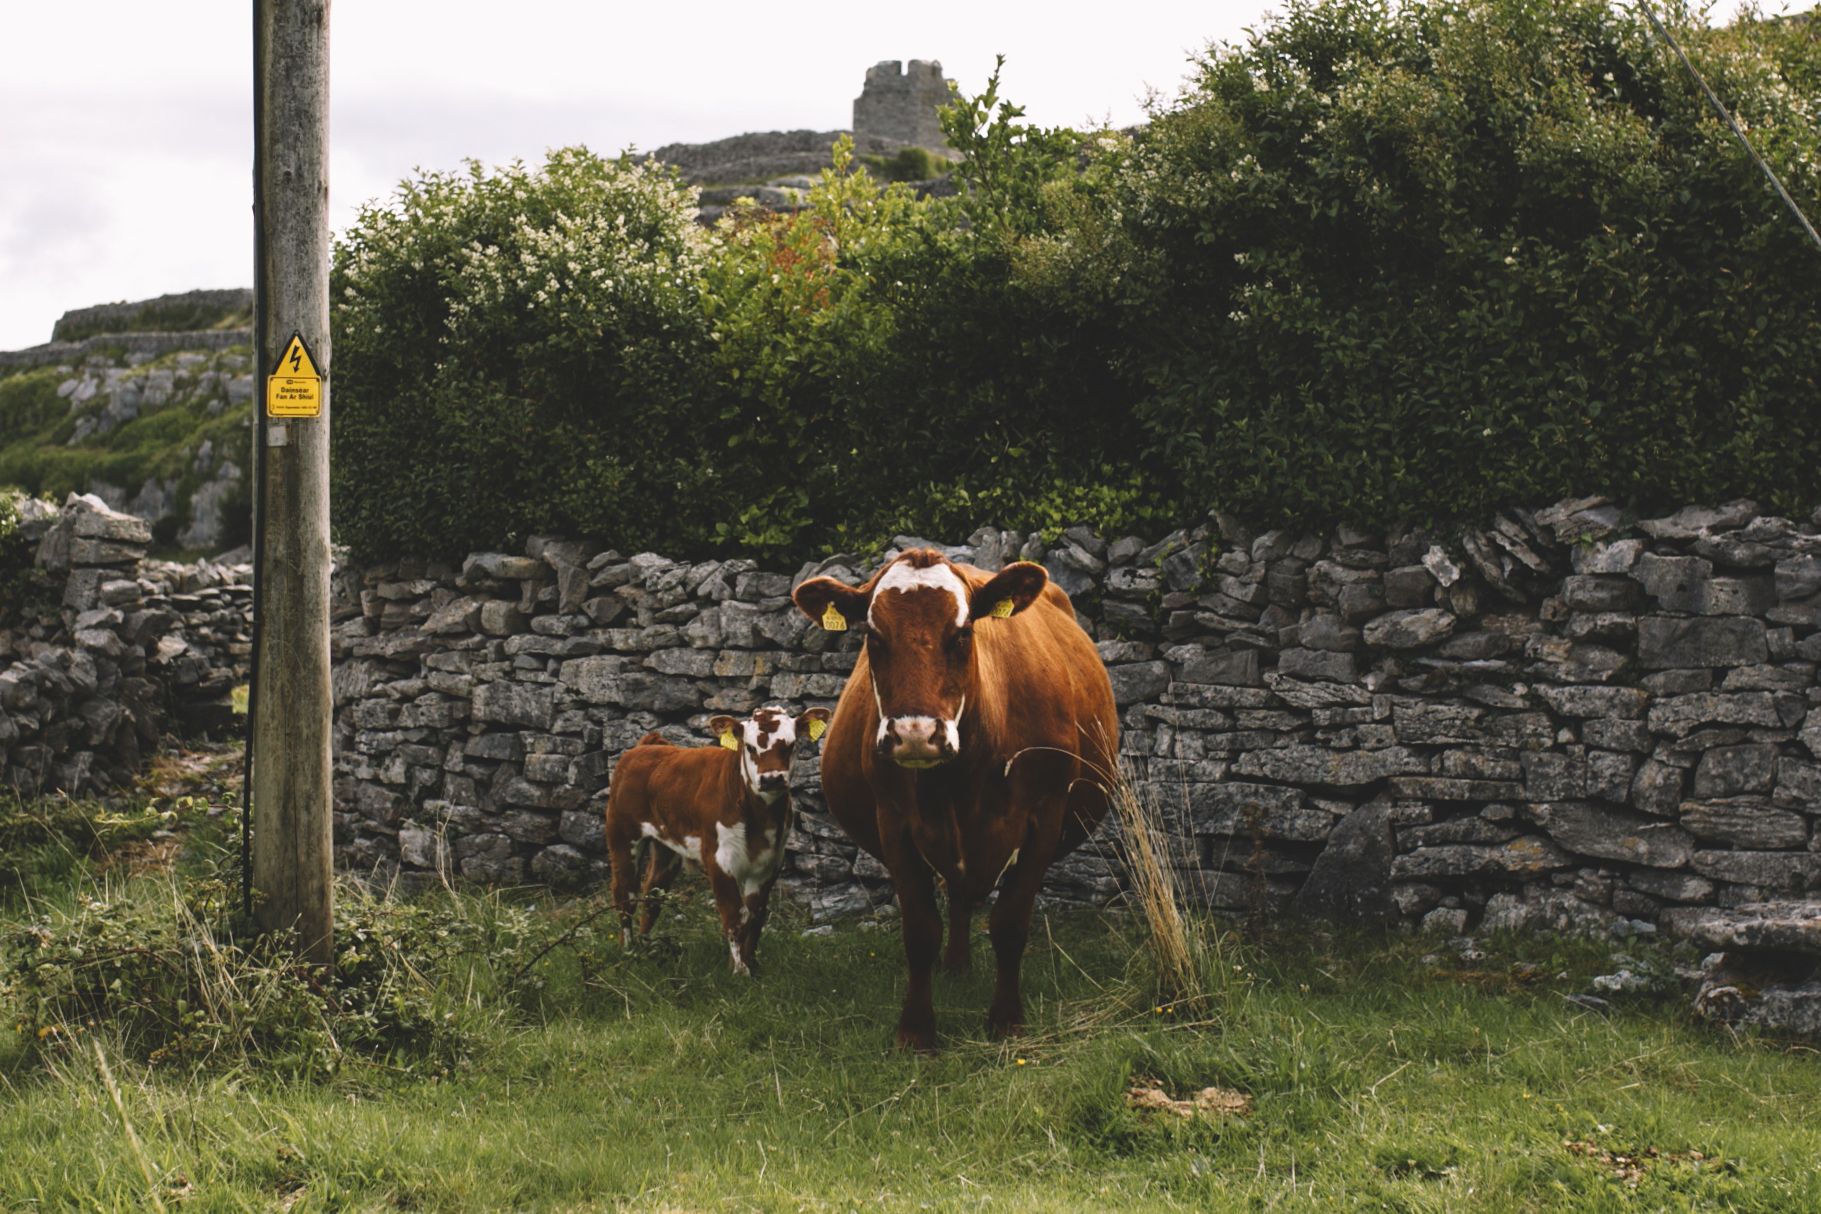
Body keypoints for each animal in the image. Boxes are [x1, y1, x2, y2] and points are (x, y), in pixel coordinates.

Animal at [604, 702, 834, 975]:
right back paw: (627, 951)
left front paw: (748, 963)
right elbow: (736, 915)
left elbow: (755, 914)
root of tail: (649, 745)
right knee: (625, 893)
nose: (771, 779)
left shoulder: (771, 861)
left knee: (653, 895)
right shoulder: (719, 858)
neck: (761, 818)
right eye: (749, 746)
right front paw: (739, 972)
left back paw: (646, 948)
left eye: (791, 744)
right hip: (621, 832)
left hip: (666, 846)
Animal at [790, 549, 1114, 1048]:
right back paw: (955, 966)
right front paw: (916, 1031)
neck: (962, 781)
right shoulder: (894, 822)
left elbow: (1009, 925)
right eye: (873, 636)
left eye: (962, 634)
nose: (915, 735)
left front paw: (1006, 1021)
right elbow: (921, 930)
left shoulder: (1046, 816)